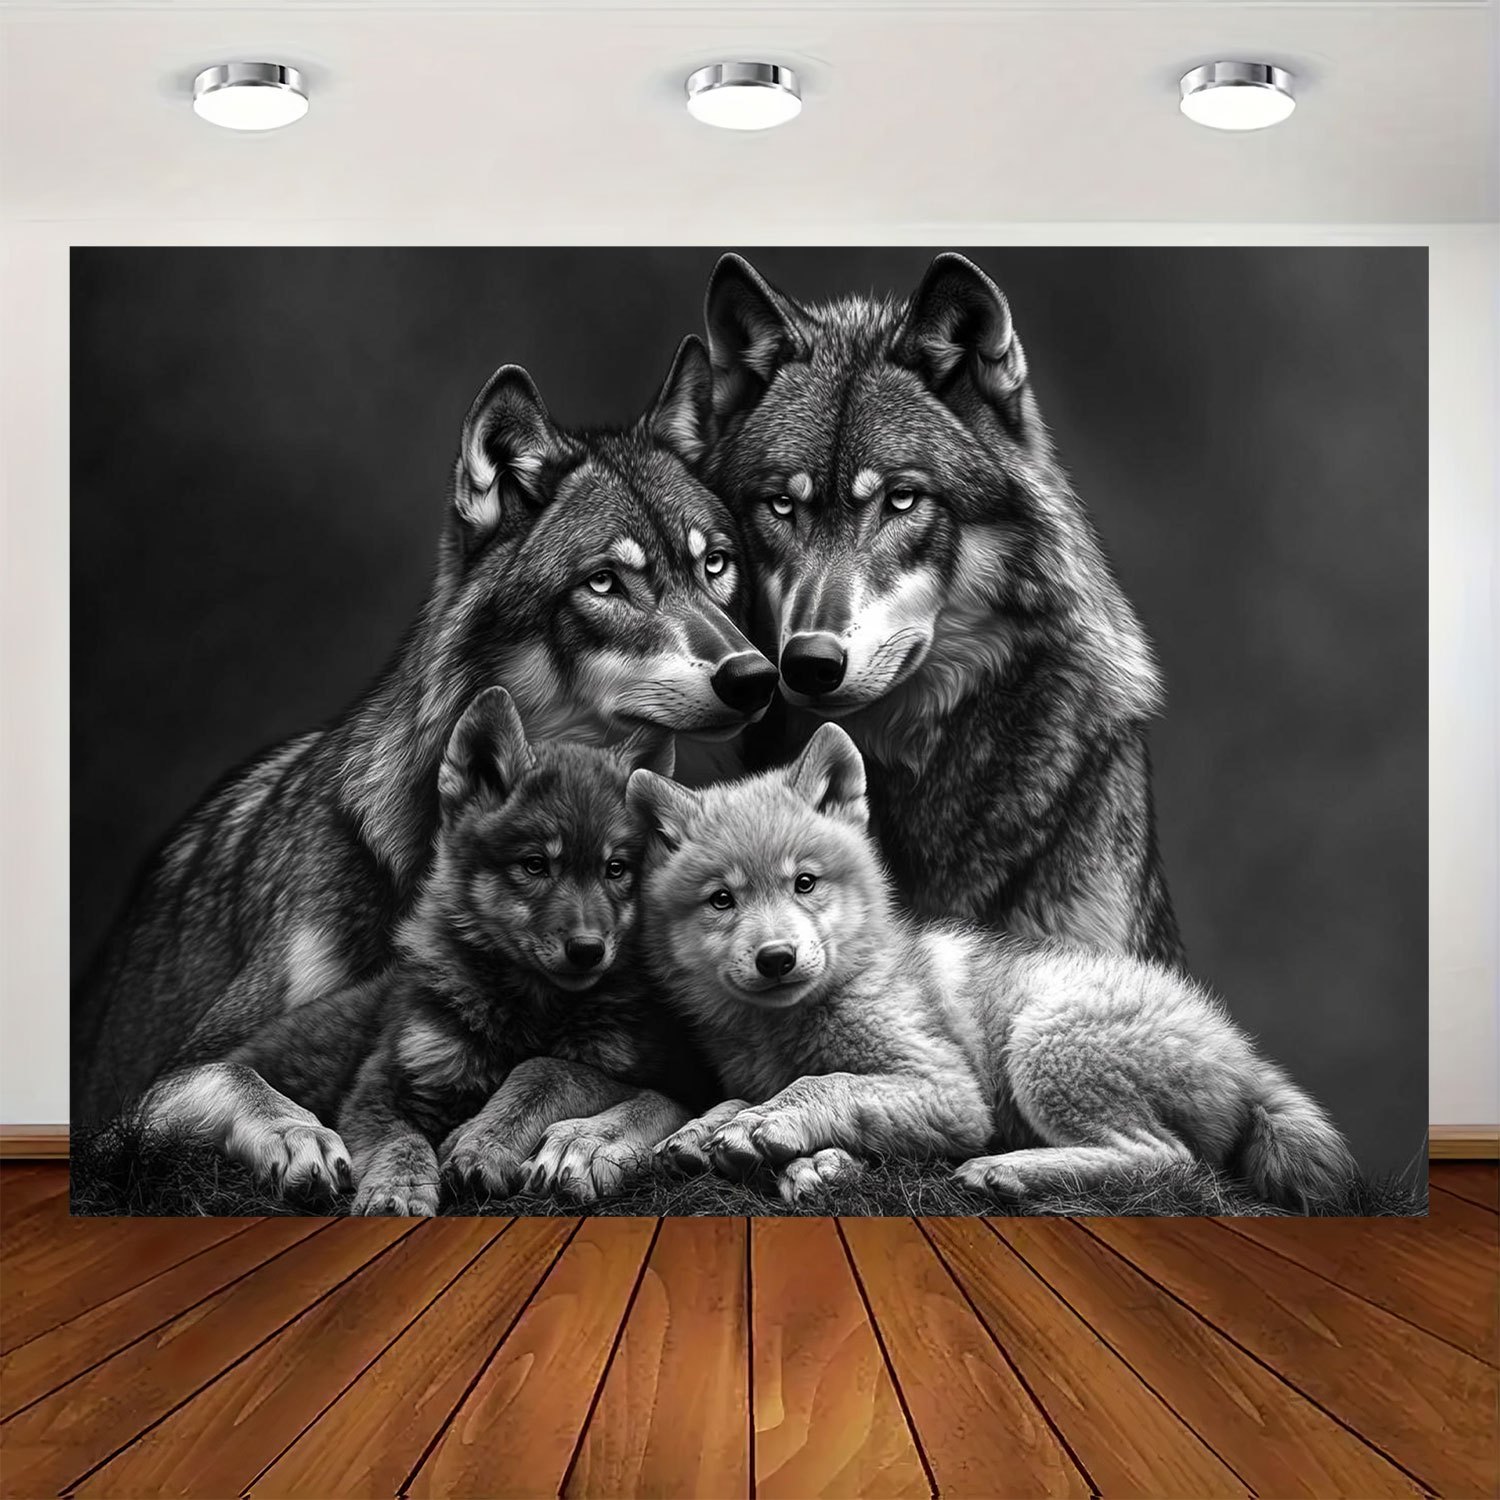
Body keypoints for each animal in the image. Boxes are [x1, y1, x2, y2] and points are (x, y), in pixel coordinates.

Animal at [80, 336, 776, 1167]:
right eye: (605, 583)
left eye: (714, 564)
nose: (756, 676)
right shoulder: (153, 1094)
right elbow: (248, 1082)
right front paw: (304, 1139)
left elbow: (649, 1095)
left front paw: (592, 1140)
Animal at [629, 724, 1356, 1211]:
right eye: (722, 900)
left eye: (804, 883)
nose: (777, 959)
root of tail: (1242, 1054)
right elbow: (736, 1098)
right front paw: (711, 1130)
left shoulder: (951, 1093)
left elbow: (825, 1084)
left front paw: (770, 1128)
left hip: (1044, 1044)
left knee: (1170, 1162)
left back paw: (1008, 1170)